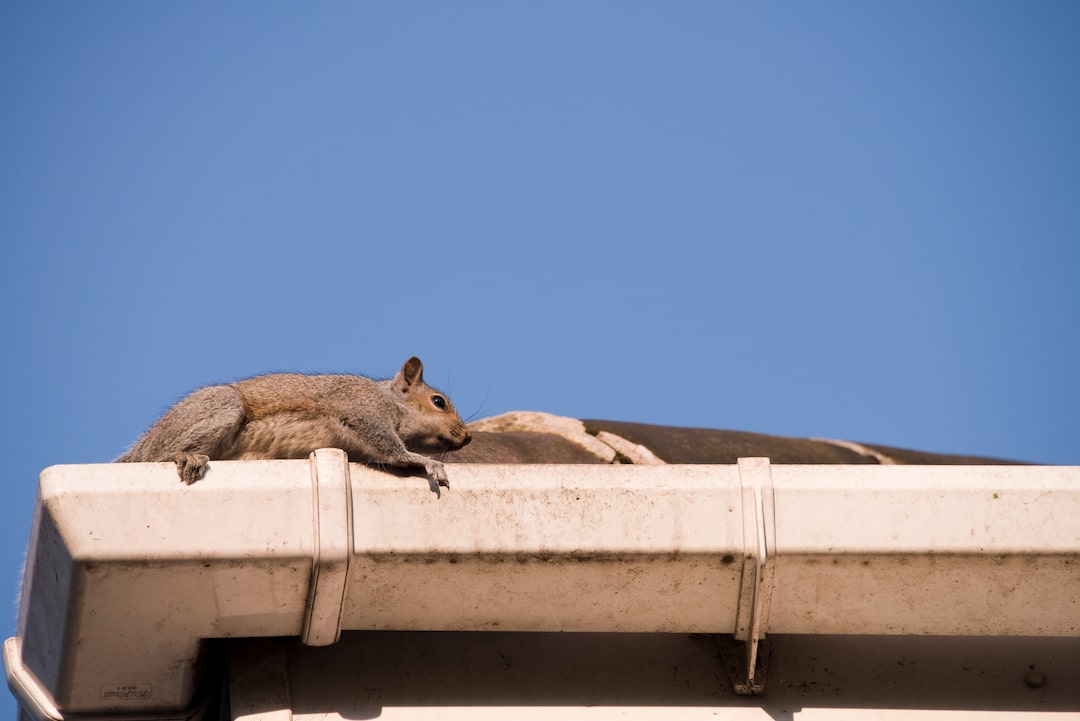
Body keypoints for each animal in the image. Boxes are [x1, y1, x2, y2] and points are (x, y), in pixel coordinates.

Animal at [116, 357, 471, 488]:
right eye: (438, 402)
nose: (466, 437)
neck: (391, 401)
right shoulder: (358, 406)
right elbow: (390, 447)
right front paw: (424, 461)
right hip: (221, 407)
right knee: (159, 457)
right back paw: (186, 456)